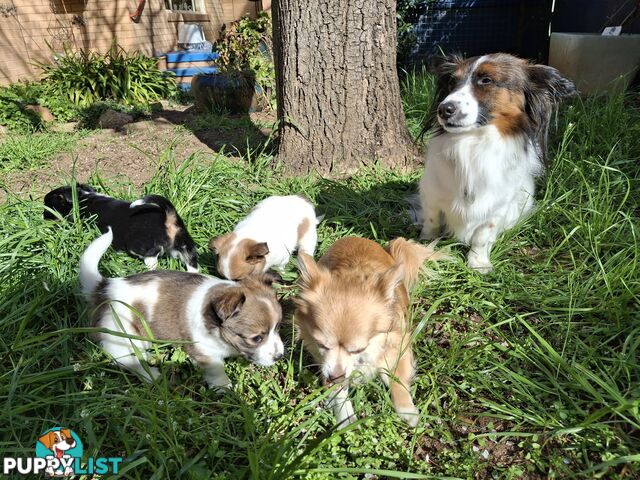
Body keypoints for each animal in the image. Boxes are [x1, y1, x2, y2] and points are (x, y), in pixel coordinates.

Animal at [44, 184, 198, 272]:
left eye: (47, 207)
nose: (42, 217)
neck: (83, 197)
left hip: (140, 247)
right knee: (192, 265)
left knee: (152, 260)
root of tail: (167, 218)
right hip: (185, 245)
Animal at [79, 227, 282, 388]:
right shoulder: (205, 353)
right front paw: (224, 387)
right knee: (130, 361)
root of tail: (104, 288)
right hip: (124, 338)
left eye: (278, 327)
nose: (280, 357)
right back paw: (152, 376)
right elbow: (217, 370)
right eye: (256, 338)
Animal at [294, 236, 444, 428]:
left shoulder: (399, 347)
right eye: (321, 345)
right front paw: (346, 417)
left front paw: (407, 410)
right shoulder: (325, 363)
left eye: (358, 349)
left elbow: (397, 379)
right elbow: (337, 391)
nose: (336, 376)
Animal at [418, 54, 576, 272]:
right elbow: (431, 221)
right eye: (452, 82)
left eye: (486, 80)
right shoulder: (431, 194)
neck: (473, 142)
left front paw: (478, 262)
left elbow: (482, 235)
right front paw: (424, 245)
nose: (443, 110)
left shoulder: (497, 206)